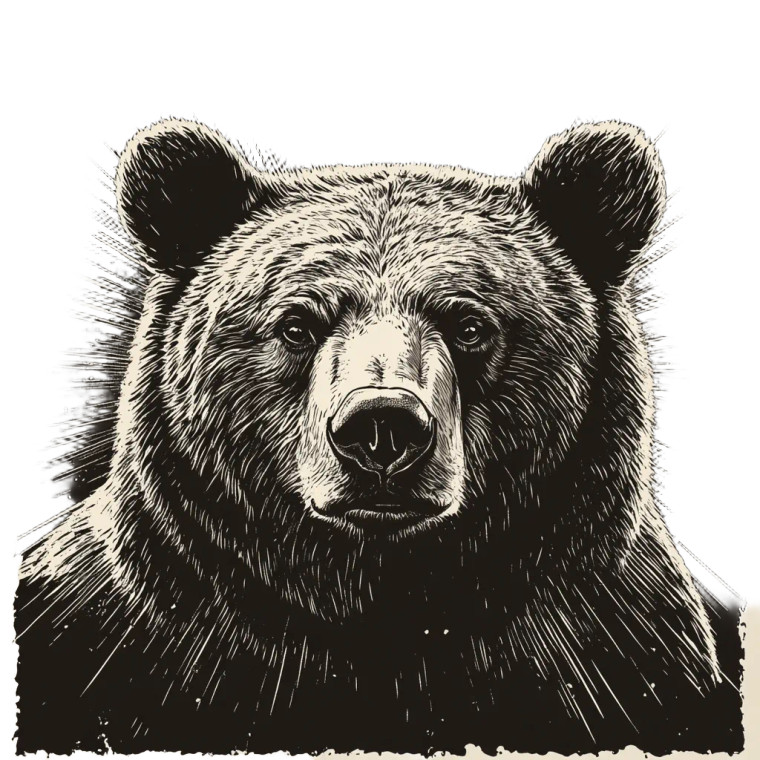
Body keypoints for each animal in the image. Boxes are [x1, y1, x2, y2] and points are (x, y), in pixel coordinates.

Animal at [15, 118, 742, 755]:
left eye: (470, 324)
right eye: (297, 324)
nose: (381, 425)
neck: (378, 608)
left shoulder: (618, 653)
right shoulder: (109, 638)